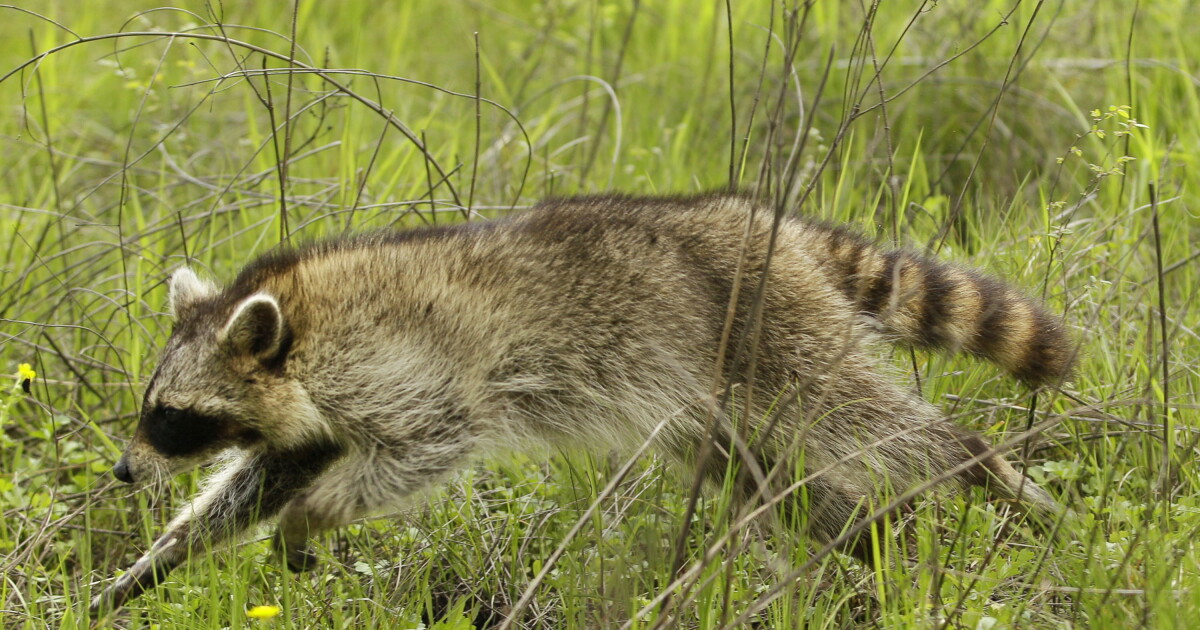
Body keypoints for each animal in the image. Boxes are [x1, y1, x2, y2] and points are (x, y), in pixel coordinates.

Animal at [91, 193, 1071, 612]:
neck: (297, 323)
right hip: (712, 399)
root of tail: (769, 221)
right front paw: (154, 561)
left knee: (870, 424)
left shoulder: (412, 375)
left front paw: (311, 519)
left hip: (772, 333)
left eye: (171, 417)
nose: (125, 471)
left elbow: (417, 453)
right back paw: (868, 539)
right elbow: (259, 480)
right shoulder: (313, 414)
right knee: (771, 477)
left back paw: (987, 474)